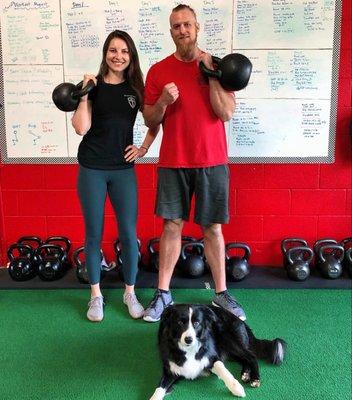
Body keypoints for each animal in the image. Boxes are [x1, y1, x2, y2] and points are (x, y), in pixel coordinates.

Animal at [149, 304, 286, 398]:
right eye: (180, 322)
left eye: (196, 323)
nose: (188, 339)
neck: (189, 350)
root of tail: (241, 321)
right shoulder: (170, 370)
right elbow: (158, 389)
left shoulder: (212, 357)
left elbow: (224, 371)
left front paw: (238, 389)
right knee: (244, 359)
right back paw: (245, 374)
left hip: (228, 339)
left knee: (251, 356)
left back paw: (255, 378)